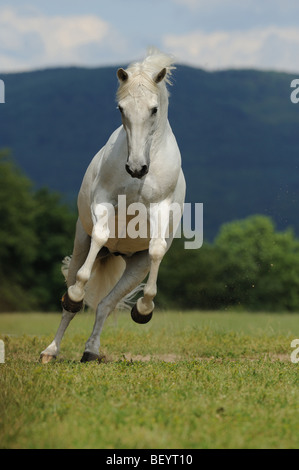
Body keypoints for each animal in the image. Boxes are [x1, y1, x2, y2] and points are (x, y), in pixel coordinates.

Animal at [39, 48, 185, 364]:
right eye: (121, 109)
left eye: (154, 109)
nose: (137, 168)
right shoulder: (103, 202)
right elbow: (98, 240)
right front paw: (77, 294)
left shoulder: (160, 207)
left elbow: (157, 250)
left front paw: (144, 310)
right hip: (80, 243)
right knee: (69, 302)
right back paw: (51, 350)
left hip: (136, 267)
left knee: (106, 304)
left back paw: (91, 351)